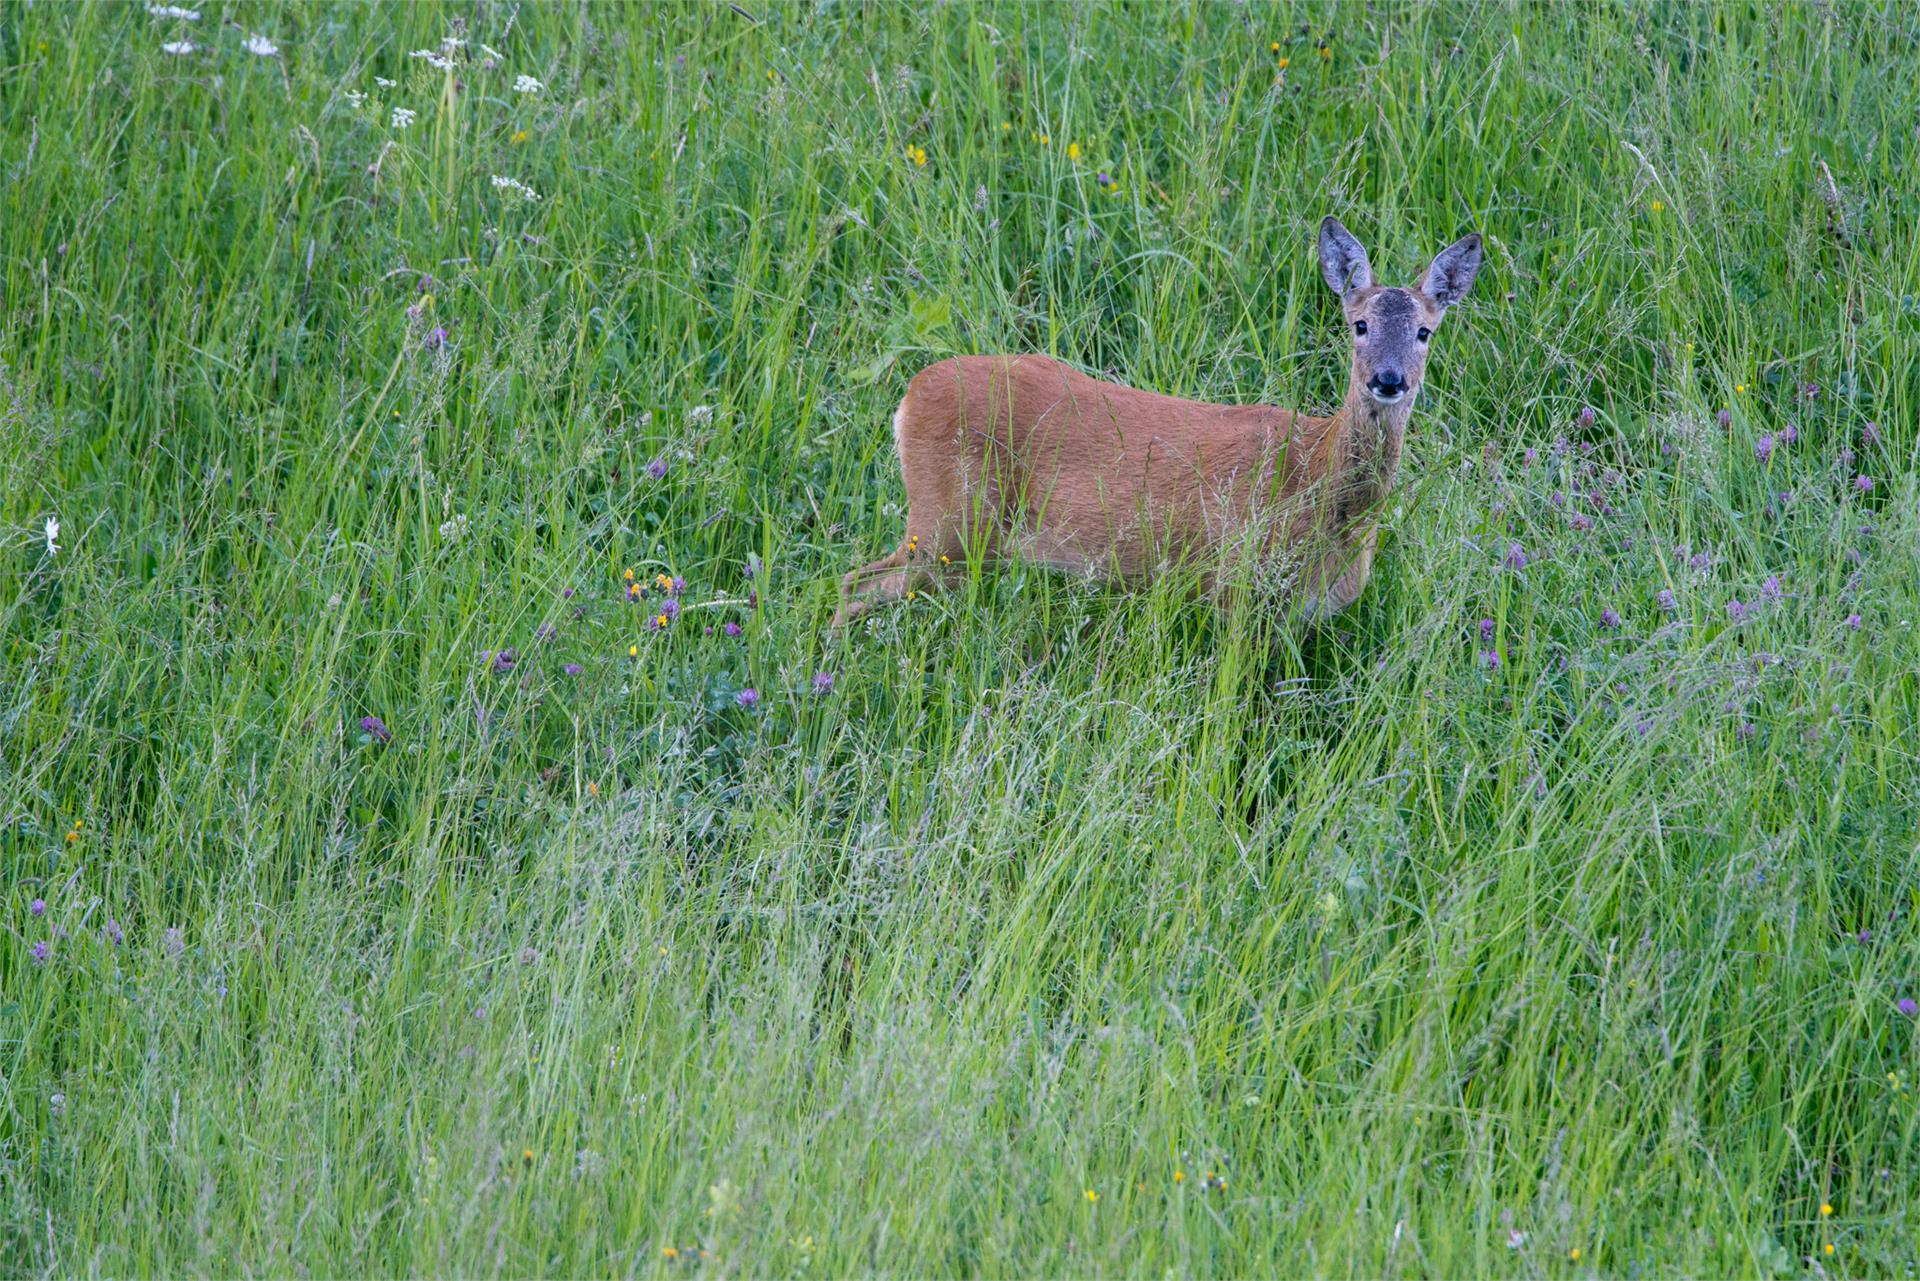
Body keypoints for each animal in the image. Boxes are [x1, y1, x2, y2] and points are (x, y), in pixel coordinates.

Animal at [829, 221, 1482, 629]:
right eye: (1359, 324)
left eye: (1425, 331)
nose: (1389, 380)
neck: (1316, 482)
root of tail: (909, 396)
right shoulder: (1235, 589)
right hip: (948, 525)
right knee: (851, 584)